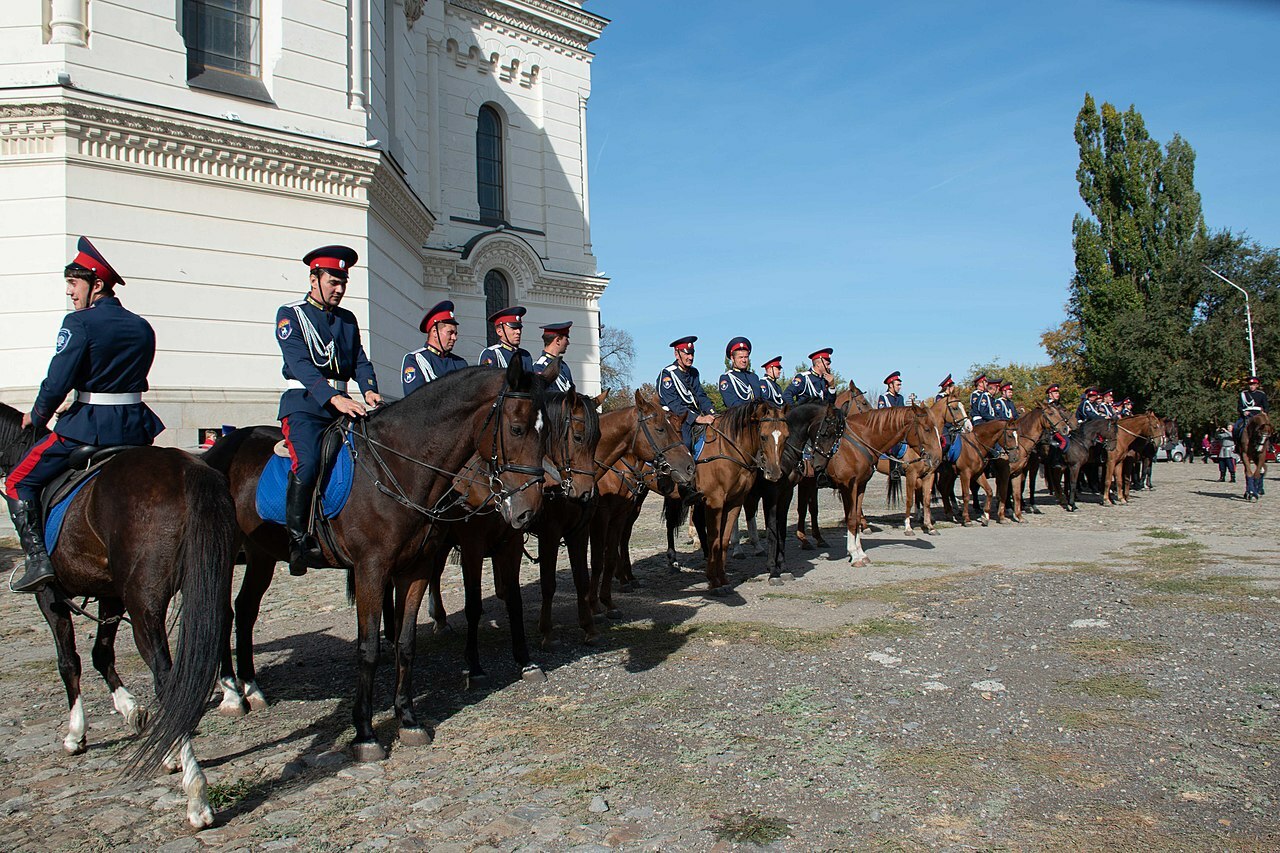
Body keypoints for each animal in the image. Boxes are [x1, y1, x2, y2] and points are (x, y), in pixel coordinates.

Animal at [0, 402, 238, 824]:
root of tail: (186, 469)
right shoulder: (110, 595)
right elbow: (101, 653)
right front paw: (133, 713)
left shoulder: (49, 596)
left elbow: (69, 661)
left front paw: (76, 733)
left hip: (144, 607)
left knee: (167, 677)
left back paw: (196, 794)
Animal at [204, 358, 550, 758]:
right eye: (517, 428)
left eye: (546, 431)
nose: (529, 511)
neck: (402, 467)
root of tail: (213, 451)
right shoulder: (371, 570)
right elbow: (368, 648)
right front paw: (366, 733)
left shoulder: (415, 569)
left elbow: (406, 643)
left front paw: (408, 719)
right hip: (223, 559)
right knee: (221, 613)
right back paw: (231, 692)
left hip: (261, 555)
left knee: (245, 609)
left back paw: (251, 687)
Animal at [824, 404, 936, 563]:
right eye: (927, 429)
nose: (937, 457)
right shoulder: (848, 486)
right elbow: (851, 518)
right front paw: (854, 555)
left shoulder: (860, 485)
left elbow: (856, 517)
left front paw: (860, 553)